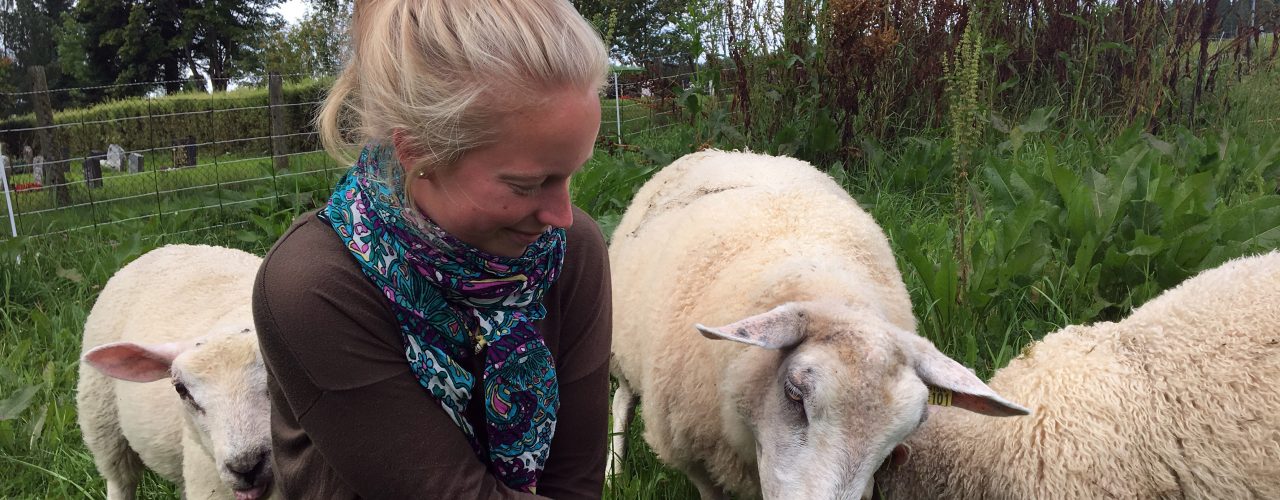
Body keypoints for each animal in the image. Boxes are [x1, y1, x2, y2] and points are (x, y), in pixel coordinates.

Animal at [606, 151, 1029, 500]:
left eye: (906, 431)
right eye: (795, 394)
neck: (829, 292)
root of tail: (727, 150)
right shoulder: (697, 460)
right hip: (621, 344)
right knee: (621, 400)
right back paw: (614, 472)